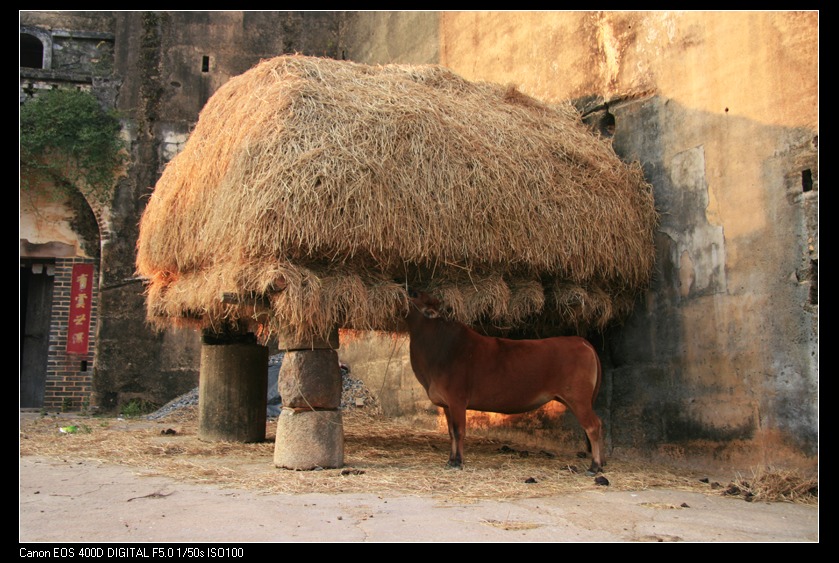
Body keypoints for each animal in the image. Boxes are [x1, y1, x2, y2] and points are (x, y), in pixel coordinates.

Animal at [406, 290, 608, 476]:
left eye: (414, 298)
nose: (406, 293)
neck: (440, 348)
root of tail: (580, 341)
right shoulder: (447, 404)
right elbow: (450, 432)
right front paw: (450, 460)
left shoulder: (457, 400)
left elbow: (459, 431)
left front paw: (458, 462)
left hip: (578, 398)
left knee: (593, 425)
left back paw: (595, 466)